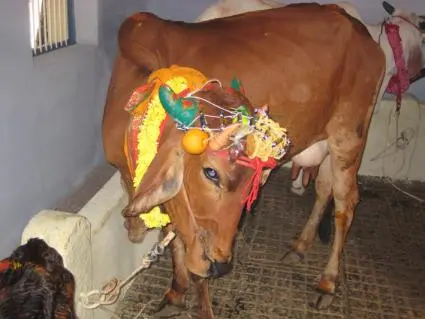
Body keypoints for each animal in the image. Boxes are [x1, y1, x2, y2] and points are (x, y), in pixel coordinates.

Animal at [102, 3, 384, 318]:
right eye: (211, 173)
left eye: (252, 182)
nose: (222, 265)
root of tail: (358, 29)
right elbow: (173, 237)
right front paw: (175, 292)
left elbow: (193, 258)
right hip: (323, 139)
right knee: (324, 189)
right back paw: (300, 246)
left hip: (349, 136)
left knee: (345, 204)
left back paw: (328, 282)